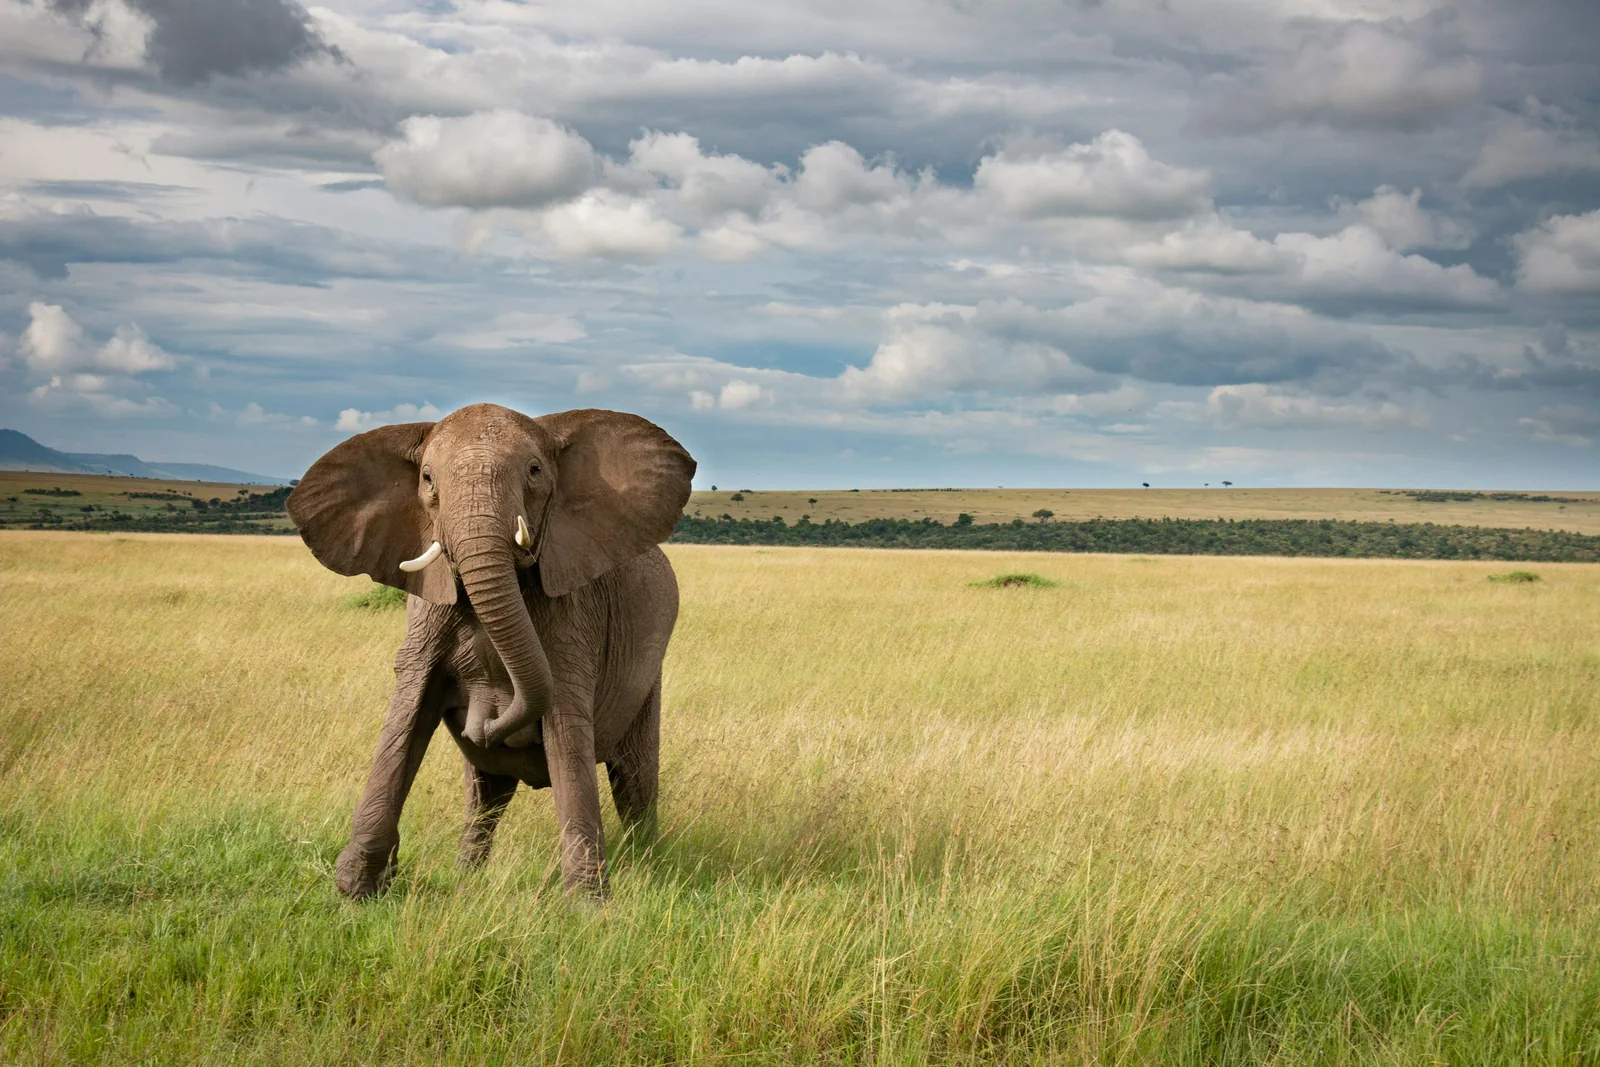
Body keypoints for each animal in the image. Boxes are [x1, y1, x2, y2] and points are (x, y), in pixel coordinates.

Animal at [286, 402, 696, 898]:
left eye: (535, 471)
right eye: (427, 478)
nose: (484, 721)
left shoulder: (573, 616)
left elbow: (566, 730)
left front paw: (588, 906)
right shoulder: (427, 612)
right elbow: (407, 714)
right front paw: (356, 890)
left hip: (648, 677)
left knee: (635, 783)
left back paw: (649, 868)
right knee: (486, 793)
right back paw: (467, 877)